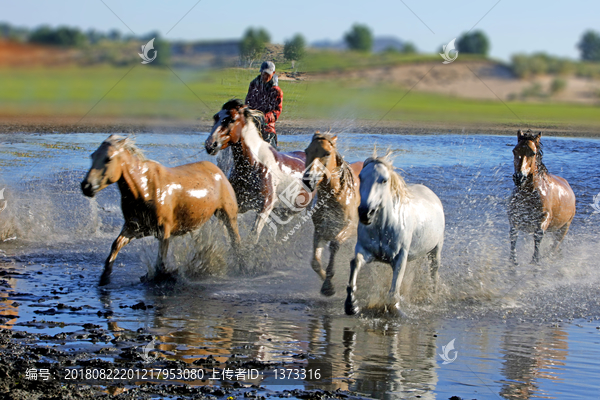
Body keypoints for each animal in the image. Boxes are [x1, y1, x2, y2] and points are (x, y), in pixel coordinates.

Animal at [81, 136, 241, 286]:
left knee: (235, 240)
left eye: (108, 158)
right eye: (93, 155)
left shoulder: (164, 230)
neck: (144, 188)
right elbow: (116, 244)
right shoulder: (134, 227)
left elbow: (161, 262)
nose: (86, 186)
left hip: (229, 216)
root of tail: (219, 172)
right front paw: (104, 277)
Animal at [204, 99, 312, 244]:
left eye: (231, 119)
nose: (210, 144)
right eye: (216, 117)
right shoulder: (237, 204)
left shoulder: (265, 207)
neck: (253, 165)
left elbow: (253, 237)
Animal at [302, 133, 364, 296]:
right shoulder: (321, 229)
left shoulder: (352, 227)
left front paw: (328, 285)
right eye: (306, 151)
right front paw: (325, 280)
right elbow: (315, 262)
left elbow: (335, 244)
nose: (308, 181)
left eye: (327, 153)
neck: (337, 195)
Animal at [342, 153, 446, 316]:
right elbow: (355, 263)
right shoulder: (366, 251)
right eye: (361, 177)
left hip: (436, 250)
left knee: (433, 272)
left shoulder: (400, 258)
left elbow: (394, 290)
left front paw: (395, 310)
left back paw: (431, 298)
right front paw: (351, 305)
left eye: (384, 180)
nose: (365, 213)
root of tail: (431, 194)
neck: (383, 227)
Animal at [508, 130, 580, 264]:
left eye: (533, 152)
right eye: (515, 151)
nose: (519, 177)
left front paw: (535, 260)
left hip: (564, 228)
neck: (529, 194)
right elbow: (513, 234)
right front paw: (513, 260)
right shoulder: (514, 216)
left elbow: (538, 236)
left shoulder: (544, 217)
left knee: (555, 245)